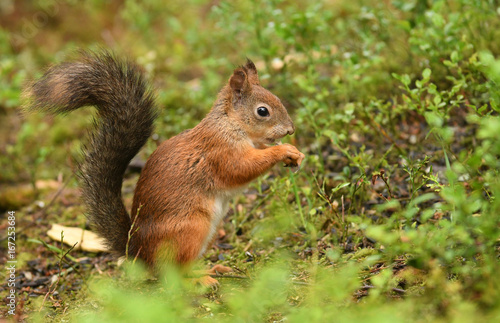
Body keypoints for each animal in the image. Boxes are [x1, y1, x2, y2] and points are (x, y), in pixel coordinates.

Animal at [27, 50, 304, 284]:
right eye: (262, 111)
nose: (291, 130)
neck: (230, 123)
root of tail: (138, 252)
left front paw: (295, 153)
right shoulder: (220, 152)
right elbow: (242, 168)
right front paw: (283, 151)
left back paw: (212, 268)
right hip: (190, 229)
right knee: (173, 274)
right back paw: (200, 280)